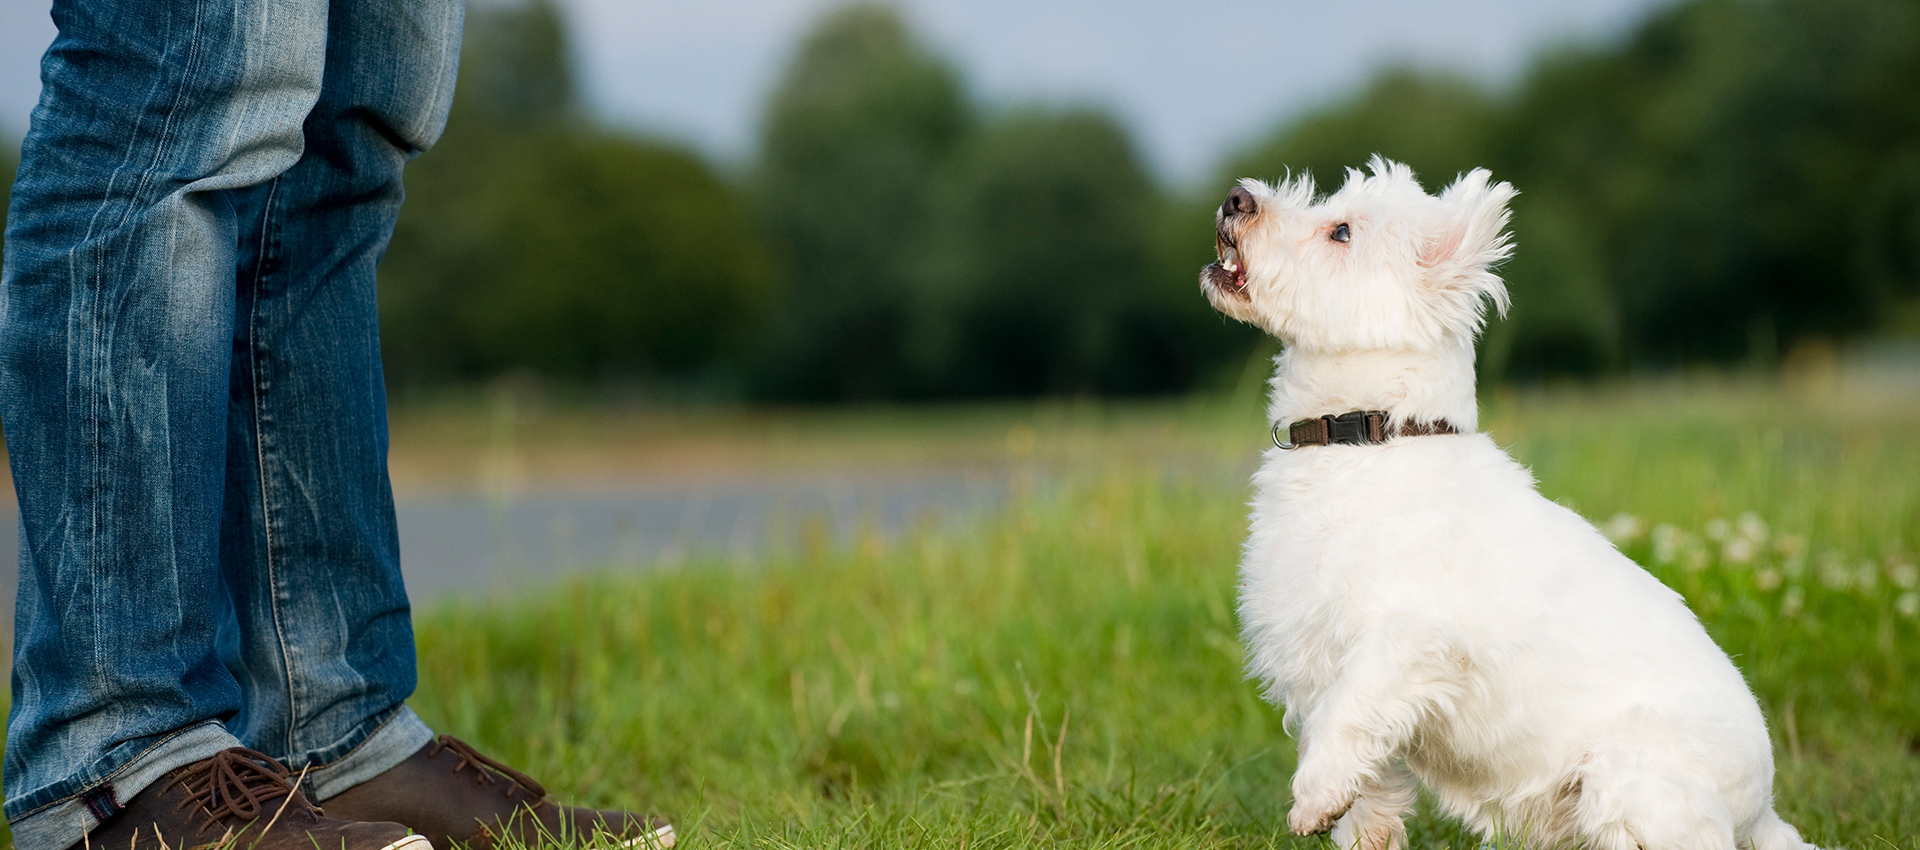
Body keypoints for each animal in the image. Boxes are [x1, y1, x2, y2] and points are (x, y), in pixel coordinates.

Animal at [1198, 158, 1812, 850]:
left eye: (1342, 232)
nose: (1235, 197)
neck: (1367, 439)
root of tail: (1761, 813)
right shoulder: (1315, 656)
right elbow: (1368, 788)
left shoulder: (1404, 640)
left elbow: (1344, 717)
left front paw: (1311, 799)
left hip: (1633, 782)